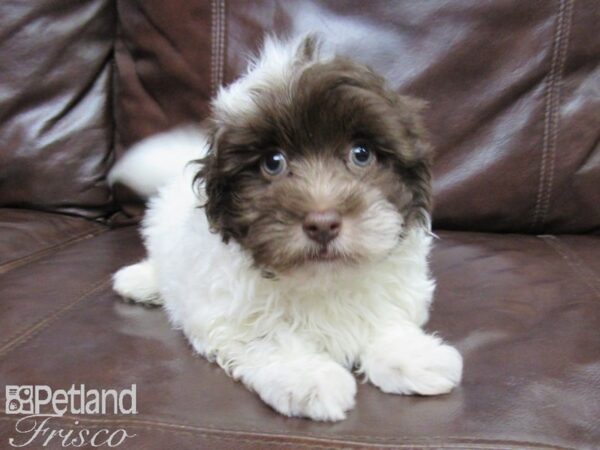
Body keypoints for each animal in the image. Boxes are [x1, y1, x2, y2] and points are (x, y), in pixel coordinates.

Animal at [110, 35, 462, 422]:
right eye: (273, 162)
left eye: (361, 153)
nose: (322, 224)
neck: (322, 282)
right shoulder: (232, 314)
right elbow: (269, 337)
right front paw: (310, 378)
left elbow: (385, 318)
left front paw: (412, 357)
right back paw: (139, 281)